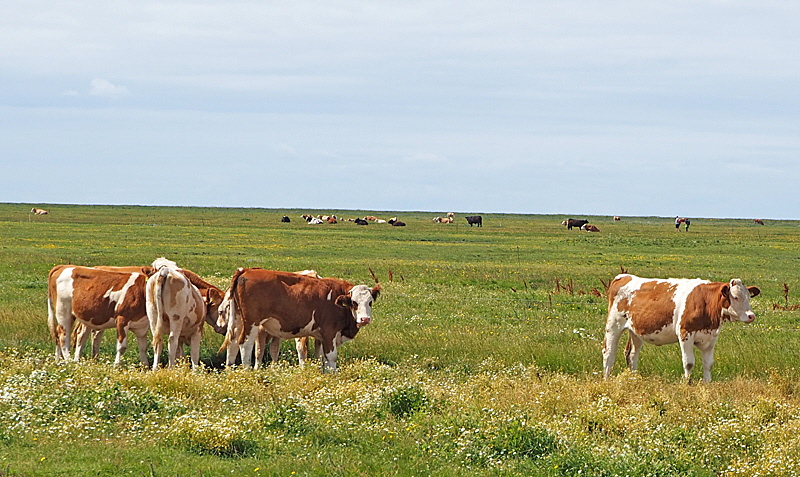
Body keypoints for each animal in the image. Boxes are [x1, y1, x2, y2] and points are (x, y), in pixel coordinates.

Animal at [219, 268, 382, 372]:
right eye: (354, 302)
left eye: (370, 302)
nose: (364, 319)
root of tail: (246, 270)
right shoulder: (329, 333)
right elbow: (331, 357)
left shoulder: (320, 336)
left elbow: (321, 358)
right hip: (252, 323)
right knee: (245, 345)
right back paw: (247, 372)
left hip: (237, 320)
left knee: (232, 344)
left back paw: (230, 372)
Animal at [604, 274, 760, 382]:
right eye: (736, 297)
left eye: (748, 297)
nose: (751, 315)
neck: (706, 301)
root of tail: (624, 276)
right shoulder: (685, 334)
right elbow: (689, 363)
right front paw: (687, 383)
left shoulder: (711, 338)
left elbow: (708, 364)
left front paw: (707, 383)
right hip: (613, 325)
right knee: (608, 353)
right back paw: (606, 379)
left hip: (636, 331)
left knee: (631, 355)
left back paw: (634, 379)